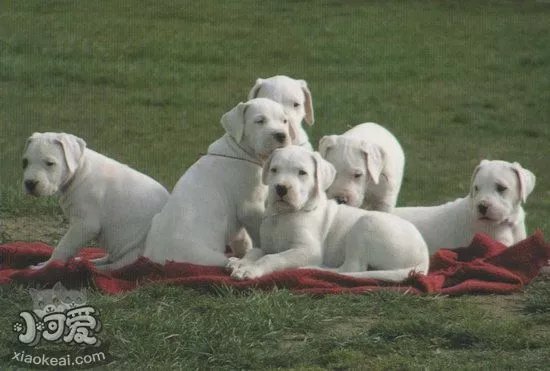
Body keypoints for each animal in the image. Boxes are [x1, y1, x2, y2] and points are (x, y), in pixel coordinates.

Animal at [22, 133, 170, 270]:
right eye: (25, 162)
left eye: (50, 163)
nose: (30, 183)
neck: (80, 171)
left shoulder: (84, 225)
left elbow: (63, 247)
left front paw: (47, 265)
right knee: (110, 259)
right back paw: (89, 261)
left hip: (136, 253)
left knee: (114, 267)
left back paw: (93, 268)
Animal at [144, 99, 296, 268]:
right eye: (260, 121)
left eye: (284, 121)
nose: (281, 135)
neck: (241, 152)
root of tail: (155, 260)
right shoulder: (250, 208)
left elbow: (242, 237)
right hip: (203, 255)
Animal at [229, 145, 432, 282]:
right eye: (274, 170)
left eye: (302, 173)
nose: (280, 188)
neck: (284, 215)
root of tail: (424, 257)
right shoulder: (266, 245)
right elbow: (255, 251)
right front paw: (240, 262)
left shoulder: (307, 249)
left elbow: (273, 257)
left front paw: (251, 270)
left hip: (366, 224)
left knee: (351, 269)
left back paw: (312, 269)